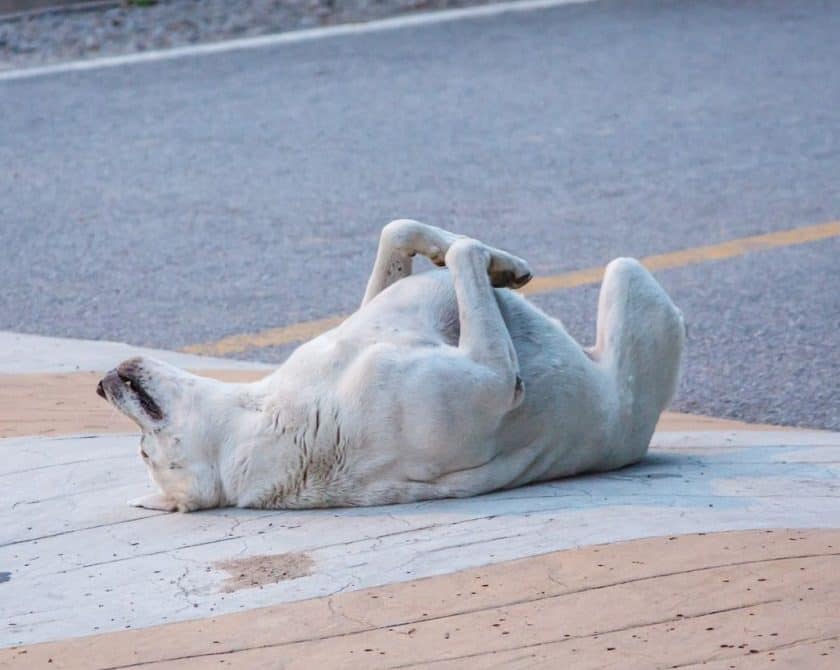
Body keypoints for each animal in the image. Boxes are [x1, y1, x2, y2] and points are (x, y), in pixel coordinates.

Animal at [97, 222, 684, 516]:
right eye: (148, 453)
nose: (102, 386)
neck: (260, 417)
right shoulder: (491, 381)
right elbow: (465, 260)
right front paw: (481, 258)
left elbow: (398, 233)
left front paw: (503, 264)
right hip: (633, 300)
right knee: (630, 279)